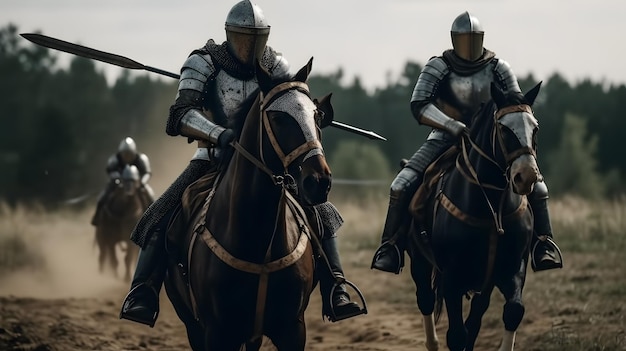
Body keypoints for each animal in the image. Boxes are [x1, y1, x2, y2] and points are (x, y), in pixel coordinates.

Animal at [163, 59, 334, 350]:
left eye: (316, 117)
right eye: (278, 118)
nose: (319, 182)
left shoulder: (292, 329)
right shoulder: (217, 333)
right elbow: (182, 112)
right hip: (193, 326)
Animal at [404, 83, 540, 351]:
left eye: (535, 128)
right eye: (504, 128)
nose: (527, 176)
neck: (491, 208)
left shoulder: (512, 269)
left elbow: (513, 312)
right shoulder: (451, 279)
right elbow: (457, 335)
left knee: (475, 317)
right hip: (420, 262)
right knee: (425, 299)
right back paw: (432, 343)